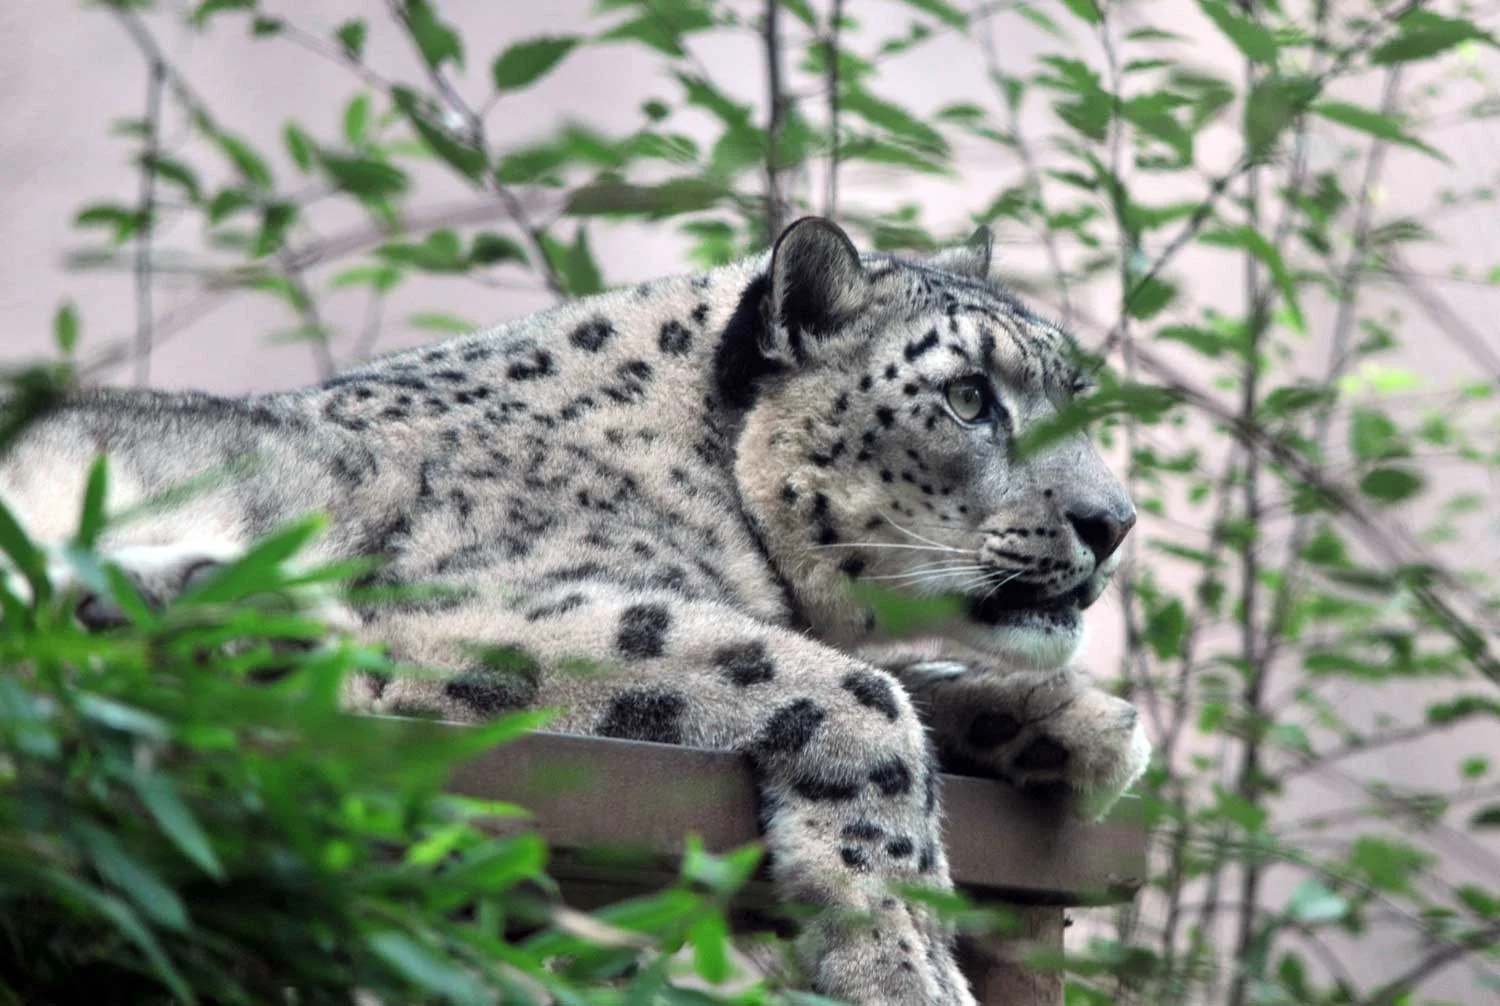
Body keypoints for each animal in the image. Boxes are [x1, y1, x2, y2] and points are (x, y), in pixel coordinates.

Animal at [0, 217, 1150, 1005]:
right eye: (969, 397)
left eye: (1075, 394)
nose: (1113, 522)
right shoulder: (494, 613)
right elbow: (853, 687)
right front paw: (905, 958)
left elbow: (902, 675)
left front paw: (1076, 724)